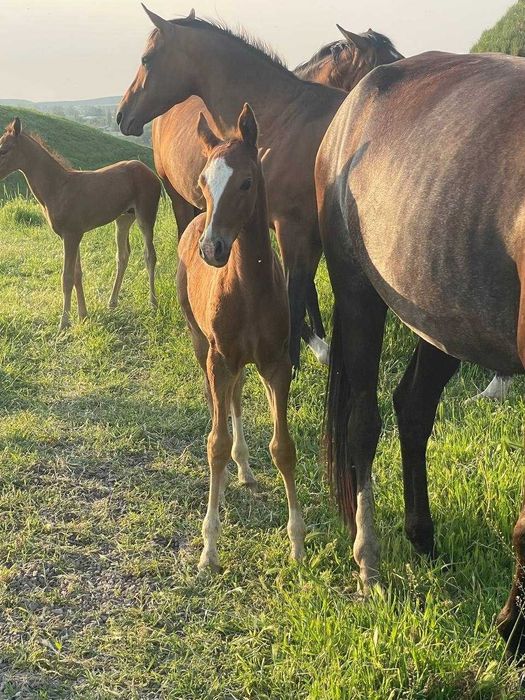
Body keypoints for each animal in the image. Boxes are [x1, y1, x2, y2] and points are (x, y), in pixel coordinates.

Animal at [0, 118, 160, 330]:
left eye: (4, 150)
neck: (58, 187)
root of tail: (149, 171)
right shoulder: (72, 236)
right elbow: (77, 274)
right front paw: (83, 315)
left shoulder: (71, 235)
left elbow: (67, 277)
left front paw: (64, 322)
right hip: (123, 219)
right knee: (123, 256)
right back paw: (112, 302)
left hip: (146, 216)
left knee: (149, 255)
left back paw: (153, 303)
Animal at [147, 19, 402, 367]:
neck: (282, 119)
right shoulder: (291, 229)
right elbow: (297, 287)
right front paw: (312, 345)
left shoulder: (299, 230)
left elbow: (299, 287)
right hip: (181, 202)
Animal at [176, 103, 305, 570]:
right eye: (203, 181)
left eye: (246, 182)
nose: (212, 249)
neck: (248, 287)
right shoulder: (220, 358)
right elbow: (215, 444)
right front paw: (209, 548)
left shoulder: (276, 363)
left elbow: (283, 447)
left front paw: (297, 544)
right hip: (202, 346)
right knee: (220, 400)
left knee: (234, 397)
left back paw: (246, 469)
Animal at [315, 51, 525, 656]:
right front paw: (512, 631)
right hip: (358, 294)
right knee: (364, 422)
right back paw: (369, 562)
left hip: (442, 322)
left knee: (412, 408)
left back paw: (422, 537)